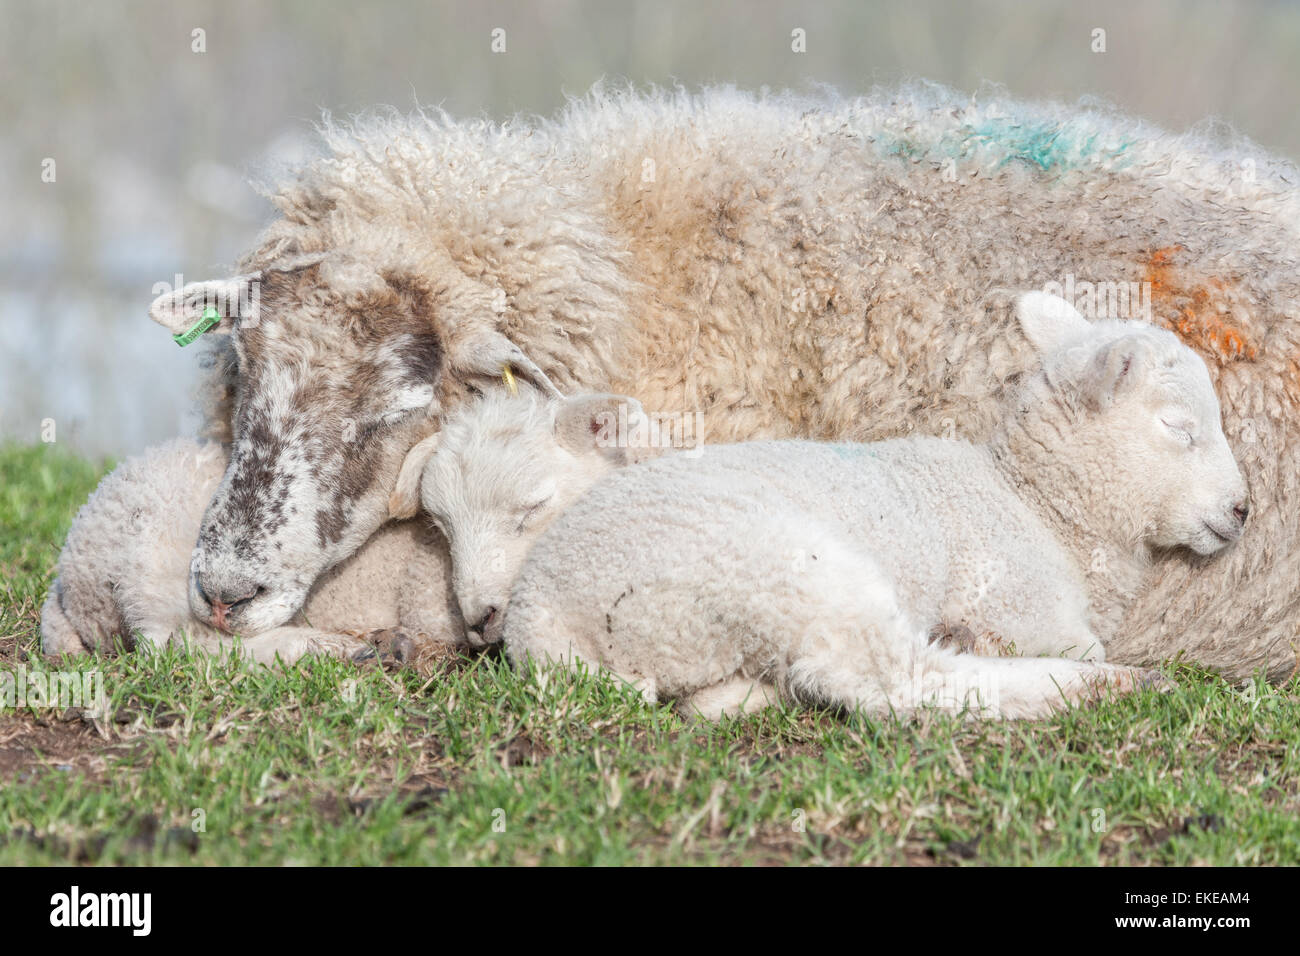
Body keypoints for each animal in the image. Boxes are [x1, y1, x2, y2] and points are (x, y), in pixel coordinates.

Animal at [493, 295, 1248, 723]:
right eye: (1179, 427)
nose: (1243, 509)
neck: (1039, 505)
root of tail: (544, 618)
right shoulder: (1022, 601)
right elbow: (1066, 641)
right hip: (784, 568)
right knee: (900, 681)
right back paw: (1115, 686)